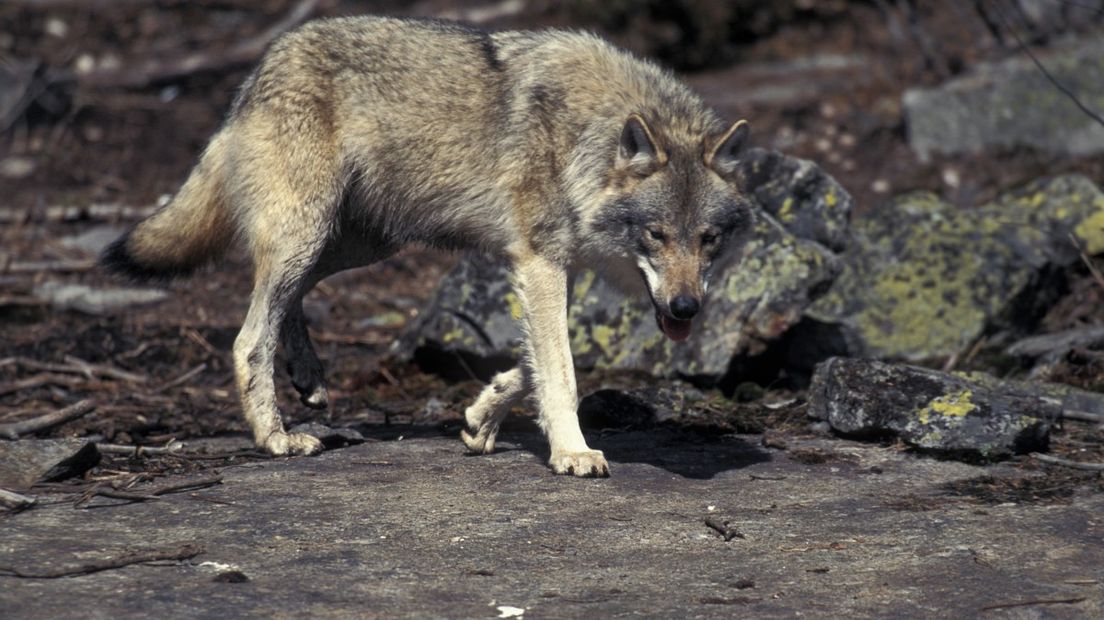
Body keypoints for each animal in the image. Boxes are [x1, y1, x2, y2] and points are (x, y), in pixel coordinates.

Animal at [103, 15, 755, 478]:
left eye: (708, 239)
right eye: (656, 234)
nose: (686, 309)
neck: (583, 140)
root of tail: (261, 66)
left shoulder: (555, 271)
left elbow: (537, 363)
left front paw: (481, 418)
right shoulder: (541, 263)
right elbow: (562, 373)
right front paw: (572, 452)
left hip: (353, 245)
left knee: (287, 302)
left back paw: (309, 378)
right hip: (309, 235)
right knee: (248, 338)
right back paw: (277, 439)